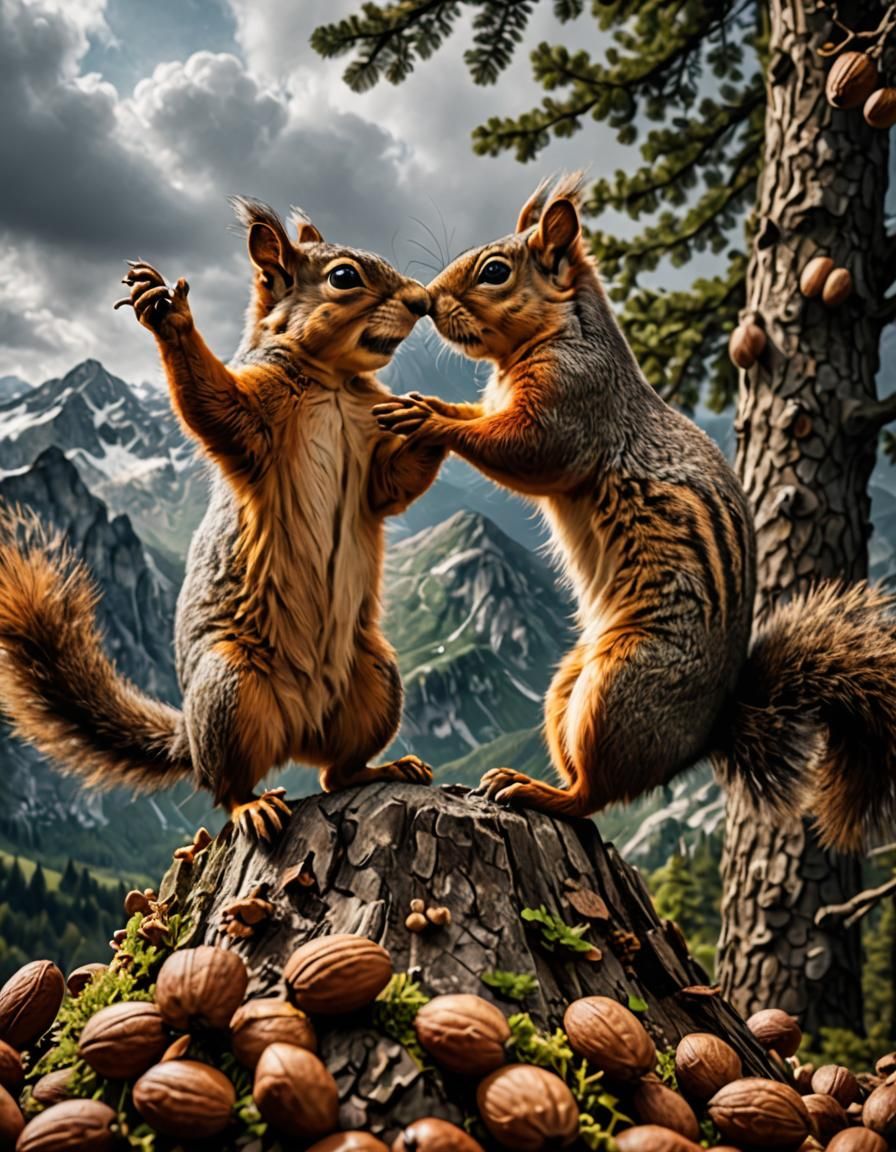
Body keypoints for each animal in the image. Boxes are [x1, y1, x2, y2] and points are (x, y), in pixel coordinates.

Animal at [0, 198, 442, 840]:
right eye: (344, 277)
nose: (422, 301)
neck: (334, 383)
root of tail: (299, 730)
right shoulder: (256, 423)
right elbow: (214, 408)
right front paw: (167, 314)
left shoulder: (372, 470)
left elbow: (394, 485)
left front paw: (432, 415)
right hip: (231, 691)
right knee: (227, 785)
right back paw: (253, 807)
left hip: (375, 676)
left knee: (337, 771)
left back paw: (383, 768)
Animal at [374, 173, 896, 853]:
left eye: (494, 272)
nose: (428, 302)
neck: (551, 336)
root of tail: (702, 737)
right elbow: (479, 419)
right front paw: (432, 405)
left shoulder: (573, 406)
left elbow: (523, 449)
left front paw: (429, 419)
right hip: (571, 684)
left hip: (621, 687)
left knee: (594, 794)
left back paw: (536, 791)